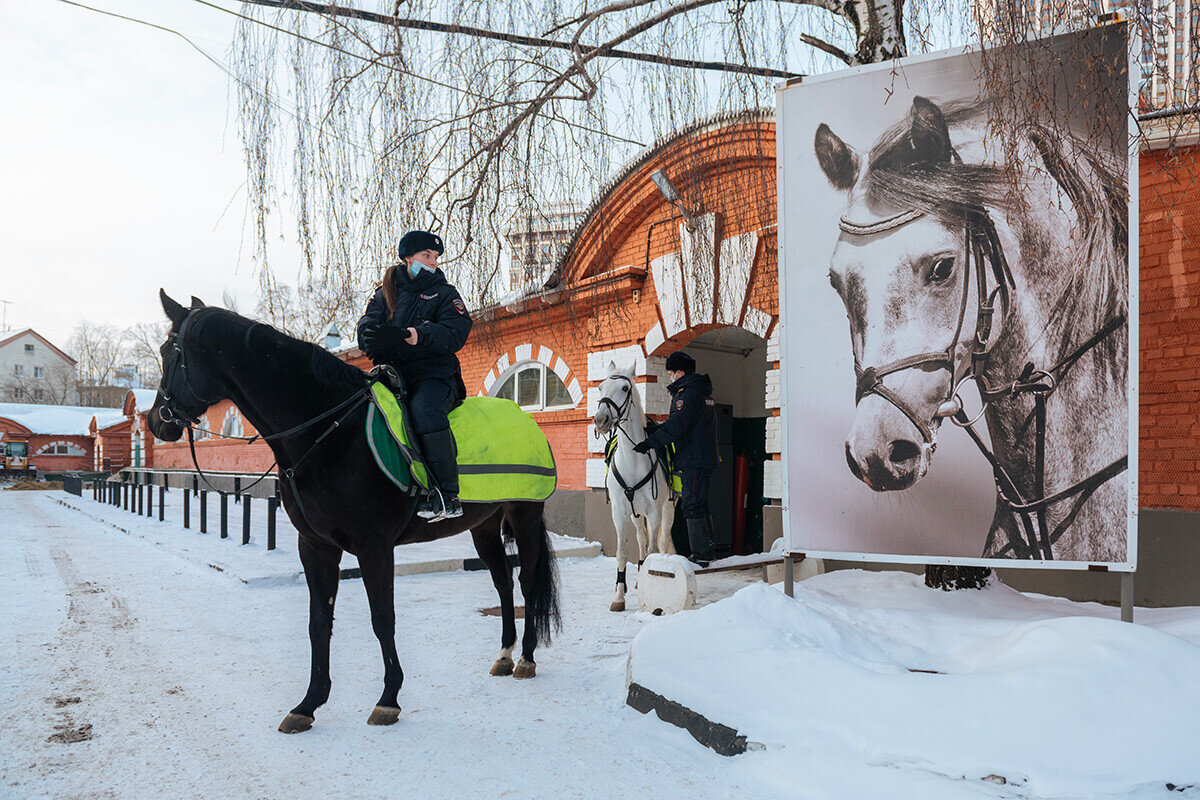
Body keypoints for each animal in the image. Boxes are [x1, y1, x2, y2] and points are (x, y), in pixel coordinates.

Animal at [146, 291, 561, 734]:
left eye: (168, 352)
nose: (156, 421)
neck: (327, 433)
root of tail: (525, 418)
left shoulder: (374, 546)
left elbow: (382, 618)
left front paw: (388, 699)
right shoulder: (315, 546)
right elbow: (318, 623)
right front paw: (308, 704)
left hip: (524, 516)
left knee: (527, 582)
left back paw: (526, 658)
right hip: (483, 526)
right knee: (502, 583)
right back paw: (503, 655)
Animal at [590, 362, 676, 614]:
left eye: (625, 387)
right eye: (600, 387)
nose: (600, 420)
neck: (634, 460)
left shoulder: (655, 513)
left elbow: (653, 550)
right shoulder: (619, 513)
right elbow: (622, 553)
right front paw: (619, 597)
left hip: (668, 510)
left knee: (661, 542)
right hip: (636, 515)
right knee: (640, 538)